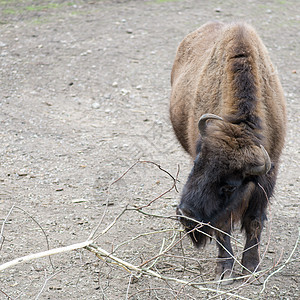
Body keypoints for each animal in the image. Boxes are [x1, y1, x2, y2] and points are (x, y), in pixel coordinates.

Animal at [170, 22, 288, 282]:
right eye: (197, 163)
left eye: (230, 186)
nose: (186, 215)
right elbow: (222, 226)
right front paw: (224, 270)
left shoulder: (266, 179)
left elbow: (254, 221)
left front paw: (251, 268)